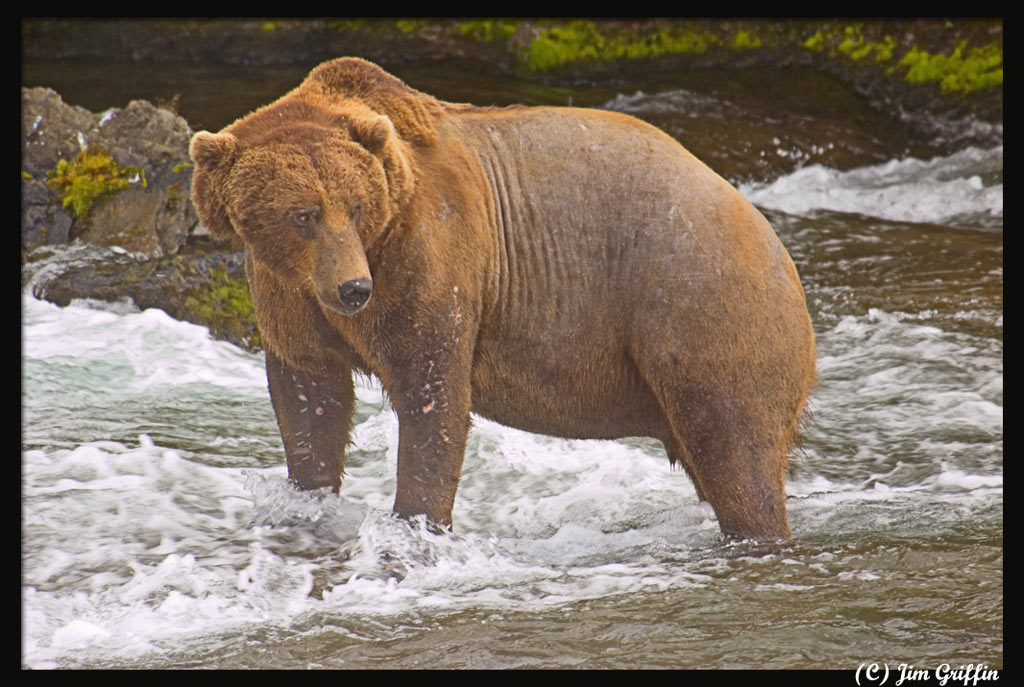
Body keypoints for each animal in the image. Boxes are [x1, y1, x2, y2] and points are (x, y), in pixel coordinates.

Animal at [190, 57, 815, 544]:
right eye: (303, 214)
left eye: (357, 205)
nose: (353, 289)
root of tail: (772, 239)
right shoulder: (289, 298)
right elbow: (308, 396)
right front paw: (306, 498)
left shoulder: (432, 256)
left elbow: (432, 395)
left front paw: (417, 522)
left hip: (700, 299)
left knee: (736, 449)